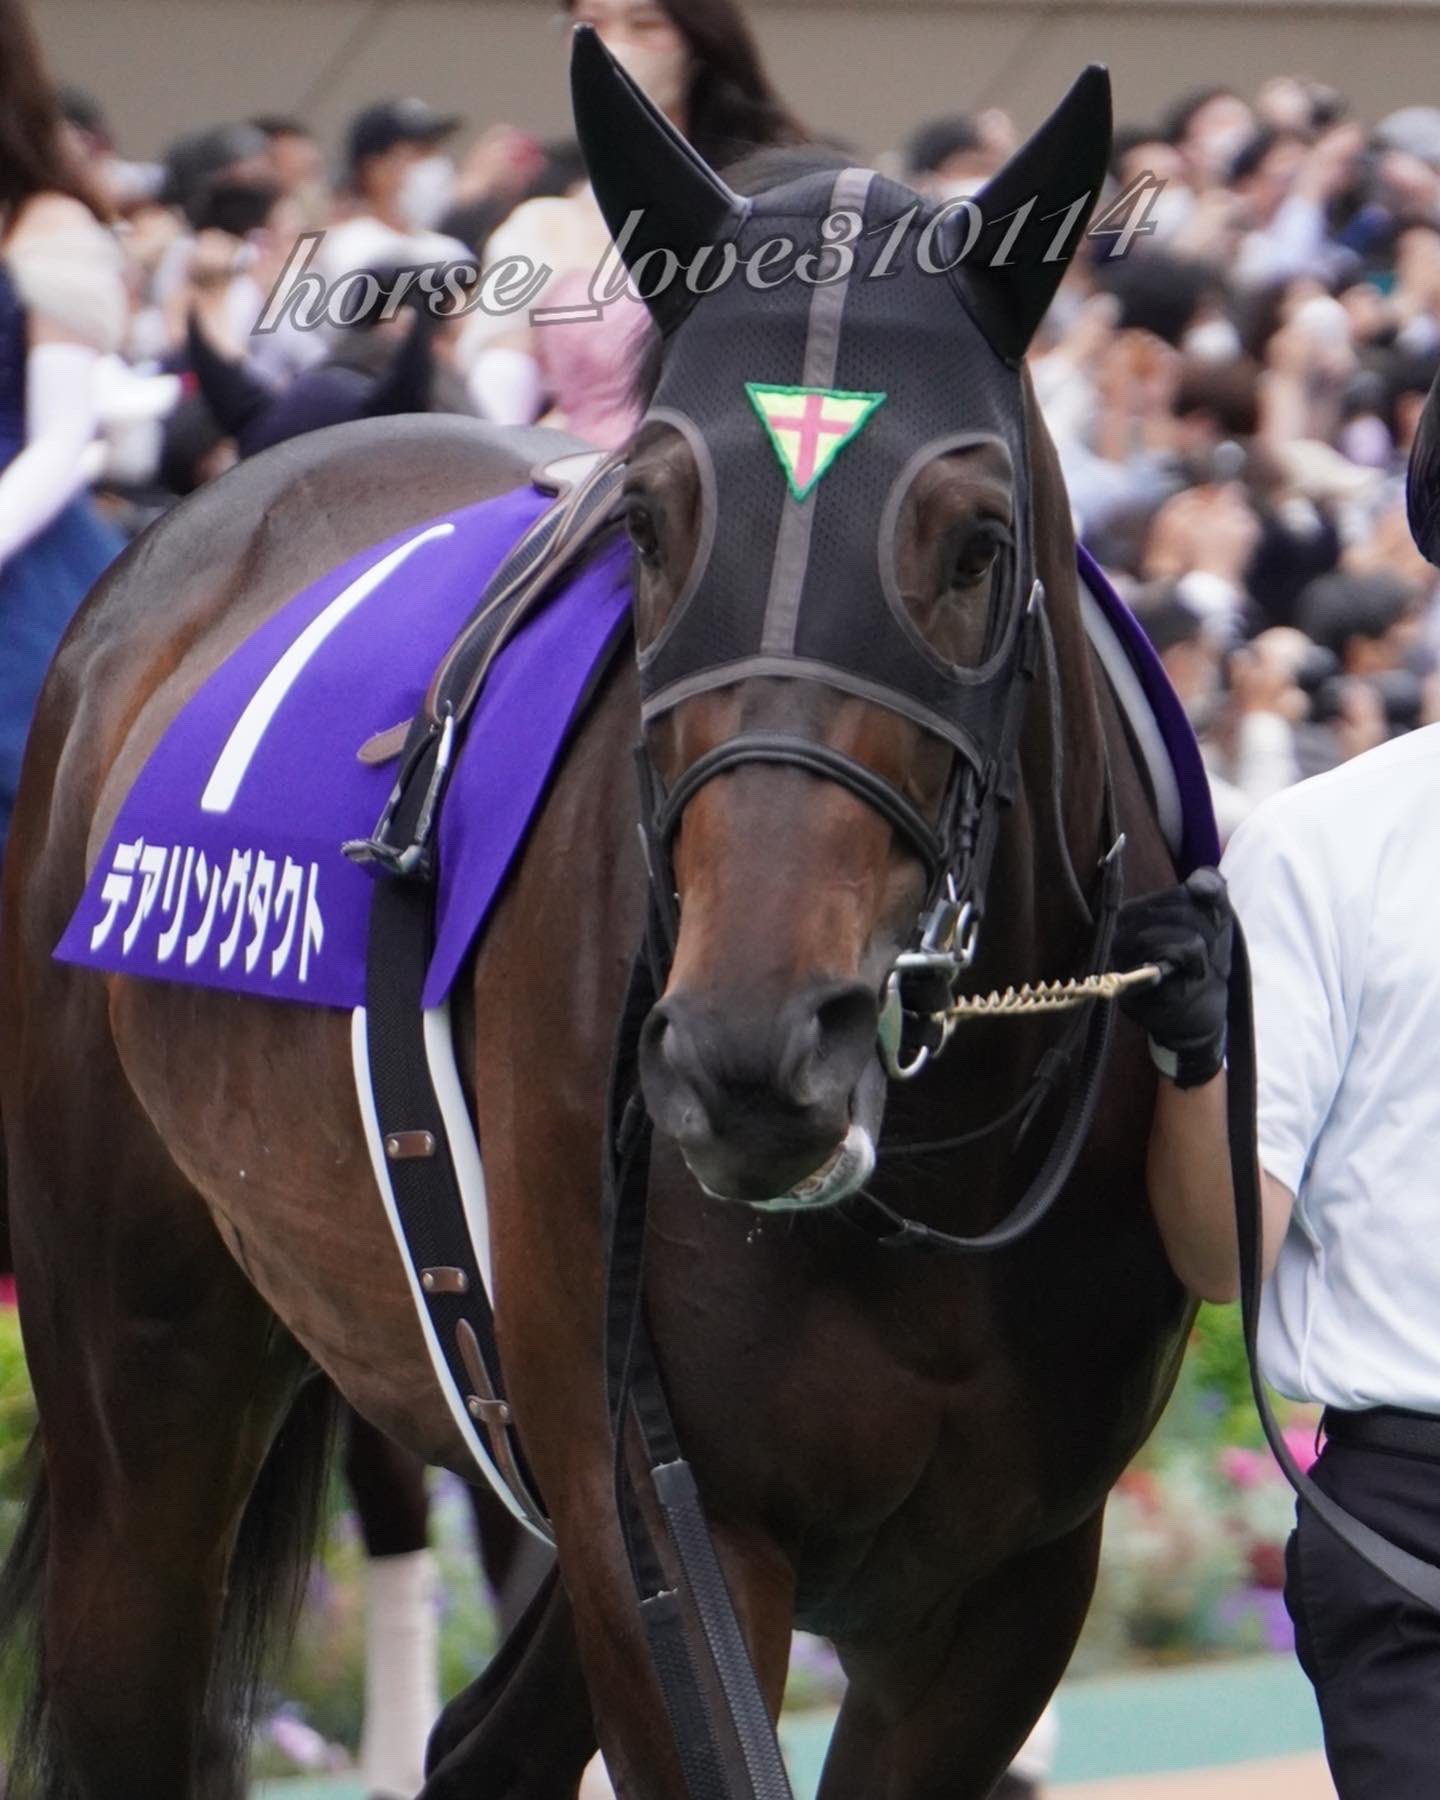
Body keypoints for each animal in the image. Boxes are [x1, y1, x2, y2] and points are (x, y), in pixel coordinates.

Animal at [0, 34, 1194, 1800]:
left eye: (976, 543)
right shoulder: (663, 1532)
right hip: (138, 1399)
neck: (926, 1177)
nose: (755, 1055)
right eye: (649, 524)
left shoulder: (1005, 1585)